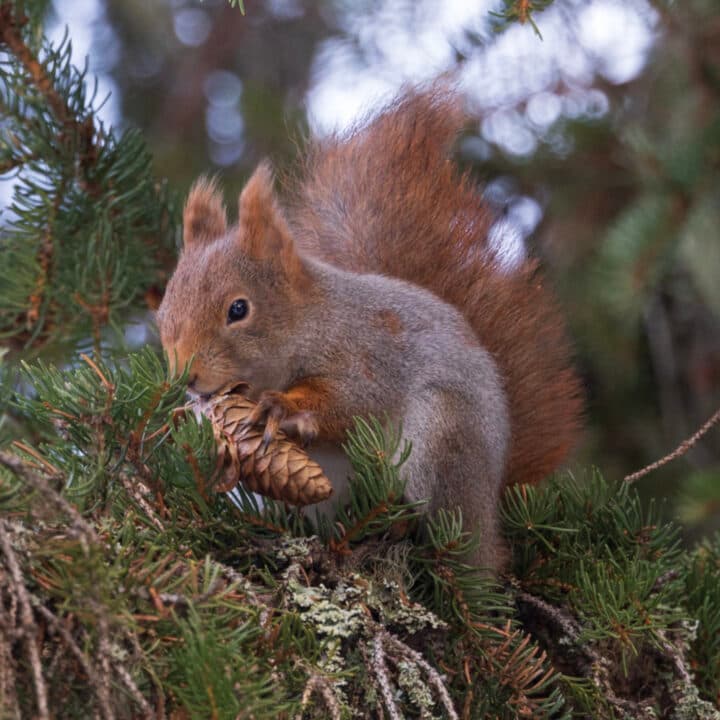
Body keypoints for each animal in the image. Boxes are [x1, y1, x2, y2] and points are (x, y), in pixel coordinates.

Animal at [155, 86, 584, 568]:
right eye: (163, 311)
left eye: (238, 309)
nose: (186, 377)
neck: (311, 322)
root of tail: (488, 520)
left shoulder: (368, 355)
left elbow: (353, 402)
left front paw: (282, 408)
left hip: (442, 437)